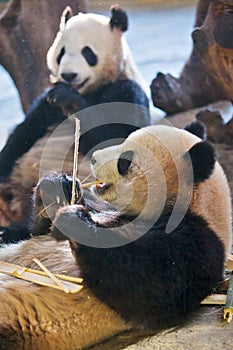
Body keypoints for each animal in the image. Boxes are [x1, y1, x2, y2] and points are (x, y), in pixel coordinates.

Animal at [0, 4, 150, 243]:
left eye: (87, 52)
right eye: (61, 52)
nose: (69, 75)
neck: (89, 91)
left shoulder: (127, 92)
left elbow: (112, 139)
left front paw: (68, 97)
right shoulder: (45, 105)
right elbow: (23, 133)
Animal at [0, 123, 230, 350]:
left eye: (125, 161)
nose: (93, 158)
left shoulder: (199, 244)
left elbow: (150, 287)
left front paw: (75, 222)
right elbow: (41, 230)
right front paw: (58, 188)